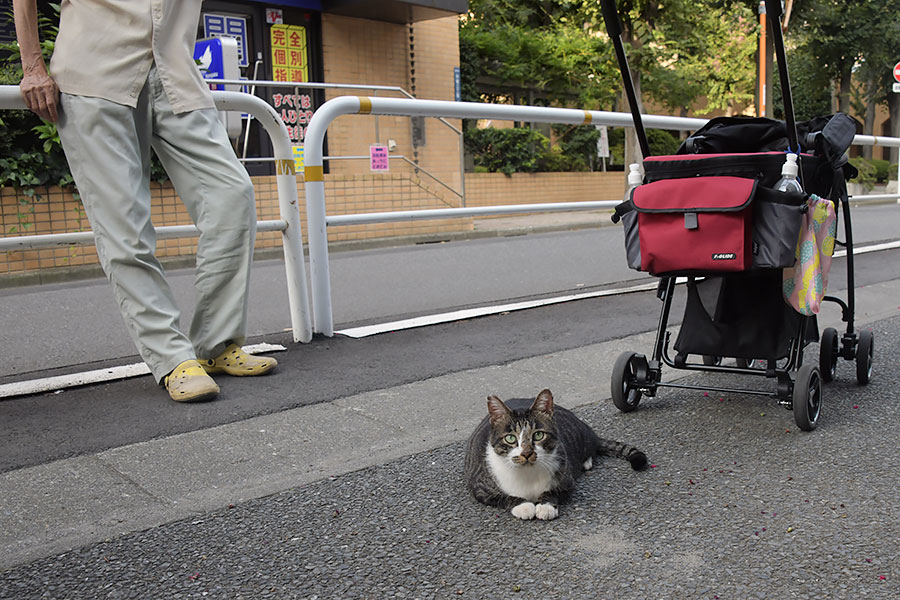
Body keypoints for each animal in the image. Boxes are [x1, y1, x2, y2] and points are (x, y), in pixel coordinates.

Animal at [464, 390, 648, 520]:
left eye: (538, 435)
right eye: (510, 438)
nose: (527, 453)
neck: (527, 474)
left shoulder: (567, 482)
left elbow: (554, 492)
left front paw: (546, 506)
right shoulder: (480, 487)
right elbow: (504, 496)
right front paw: (523, 506)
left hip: (583, 440)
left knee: (592, 448)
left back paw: (586, 461)